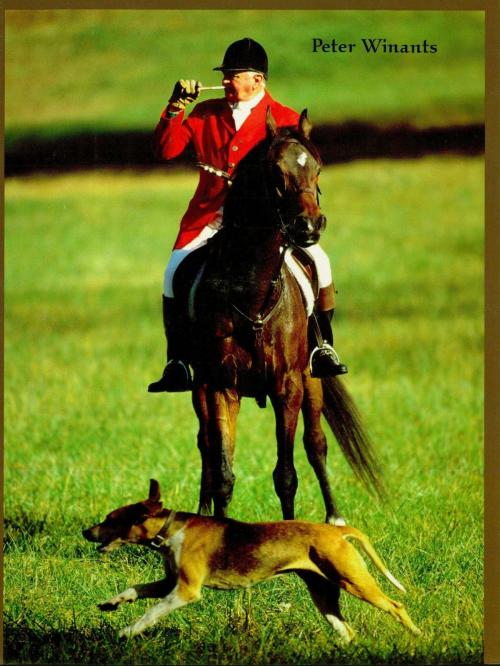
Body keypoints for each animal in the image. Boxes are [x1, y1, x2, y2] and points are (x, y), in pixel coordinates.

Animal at [82, 478, 422, 640]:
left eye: (111, 519)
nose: (86, 531)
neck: (171, 529)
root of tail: (336, 531)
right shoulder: (170, 582)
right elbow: (136, 590)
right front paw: (112, 602)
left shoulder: (185, 591)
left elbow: (150, 613)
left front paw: (127, 631)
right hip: (324, 595)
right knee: (347, 631)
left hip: (354, 580)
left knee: (396, 606)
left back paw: (418, 635)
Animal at [183, 107, 382, 524]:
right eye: (276, 172)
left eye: (318, 168)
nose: (309, 226)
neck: (251, 292)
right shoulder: (218, 385)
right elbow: (222, 470)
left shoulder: (287, 385)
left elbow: (286, 473)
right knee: (206, 447)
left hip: (312, 378)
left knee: (316, 443)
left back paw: (334, 517)